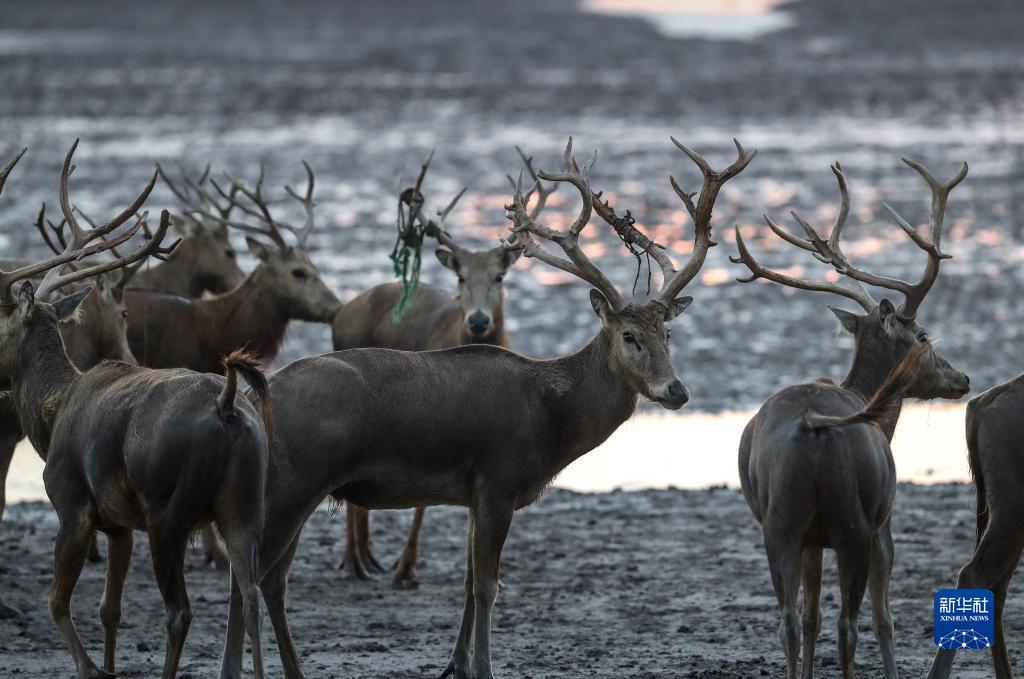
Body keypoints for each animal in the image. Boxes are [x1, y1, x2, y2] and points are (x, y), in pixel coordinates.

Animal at [0, 142, 272, 679]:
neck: (50, 415)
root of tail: (229, 406)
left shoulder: (73, 505)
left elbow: (56, 604)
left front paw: (92, 668)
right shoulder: (119, 524)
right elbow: (111, 609)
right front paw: (108, 661)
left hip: (168, 510)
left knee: (180, 611)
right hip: (246, 502)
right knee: (251, 594)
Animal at [333, 156, 536, 585]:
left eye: (500, 276)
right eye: (460, 277)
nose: (478, 320)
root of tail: (340, 311)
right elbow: (424, 502)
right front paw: (405, 567)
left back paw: (368, 557)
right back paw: (354, 561)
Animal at [733, 156, 970, 675]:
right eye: (924, 335)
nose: (962, 378)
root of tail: (813, 427)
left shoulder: (809, 538)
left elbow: (810, 616)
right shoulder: (884, 520)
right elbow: (884, 619)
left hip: (779, 522)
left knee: (788, 620)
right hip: (853, 522)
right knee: (849, 624)